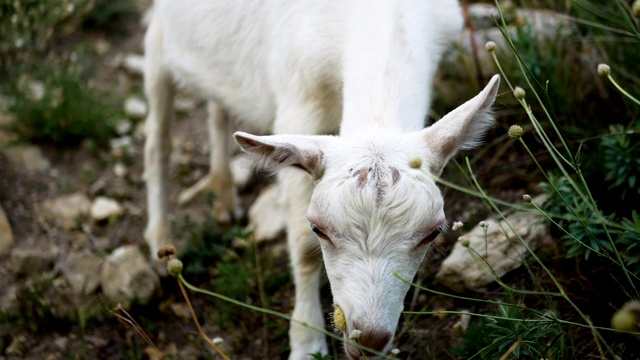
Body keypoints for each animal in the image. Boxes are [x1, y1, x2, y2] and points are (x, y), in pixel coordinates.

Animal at [145, 1, 500, 358]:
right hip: (159, 39)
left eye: (433, 233)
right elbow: (302, 248)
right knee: (158, 142)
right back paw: (161, 243)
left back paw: (226, 200)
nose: (368, 341)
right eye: (319, 229)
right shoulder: (299, 107)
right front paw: (306, 340)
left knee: (218, 106)